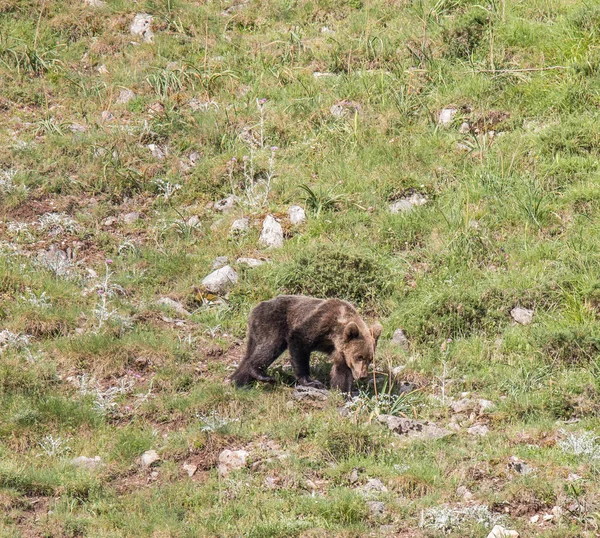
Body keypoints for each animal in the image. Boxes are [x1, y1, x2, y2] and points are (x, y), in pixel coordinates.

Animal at [227, 296, 382, 392]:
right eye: (359, 356)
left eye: (370, 359)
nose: (363, 376)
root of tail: (256, 308)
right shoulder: (320, 322)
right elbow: (299, 343)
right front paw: (311, 381)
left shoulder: (340, 350)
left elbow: (342, 371)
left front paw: (344, 392)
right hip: (272, 322)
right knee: (270, 346)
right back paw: (260, 374)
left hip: (257, 331)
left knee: (251, 352)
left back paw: (237, 380)